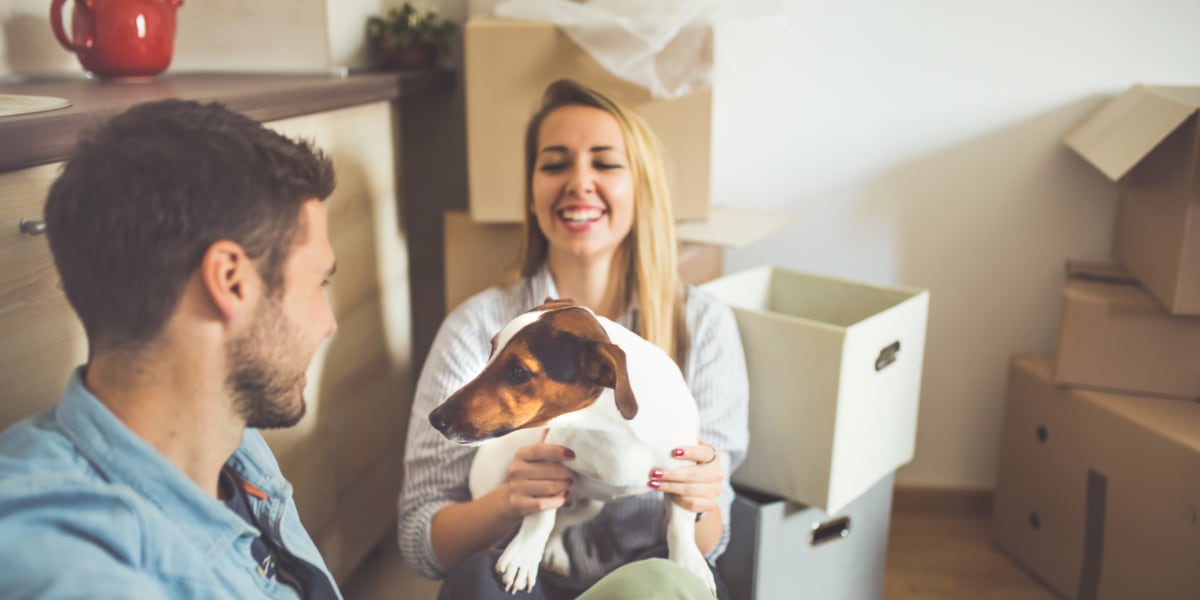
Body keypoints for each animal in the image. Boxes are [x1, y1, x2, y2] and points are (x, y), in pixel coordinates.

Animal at [429, 300, 715, 595]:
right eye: (492, 350)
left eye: (518, 371)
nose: (435, 418)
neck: (610, 428)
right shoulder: (548, 466)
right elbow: (540, 516)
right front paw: (523, 554)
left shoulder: (682, 473)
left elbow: (680, 524)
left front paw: (688, 562)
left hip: (590, 506)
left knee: (562, 523)